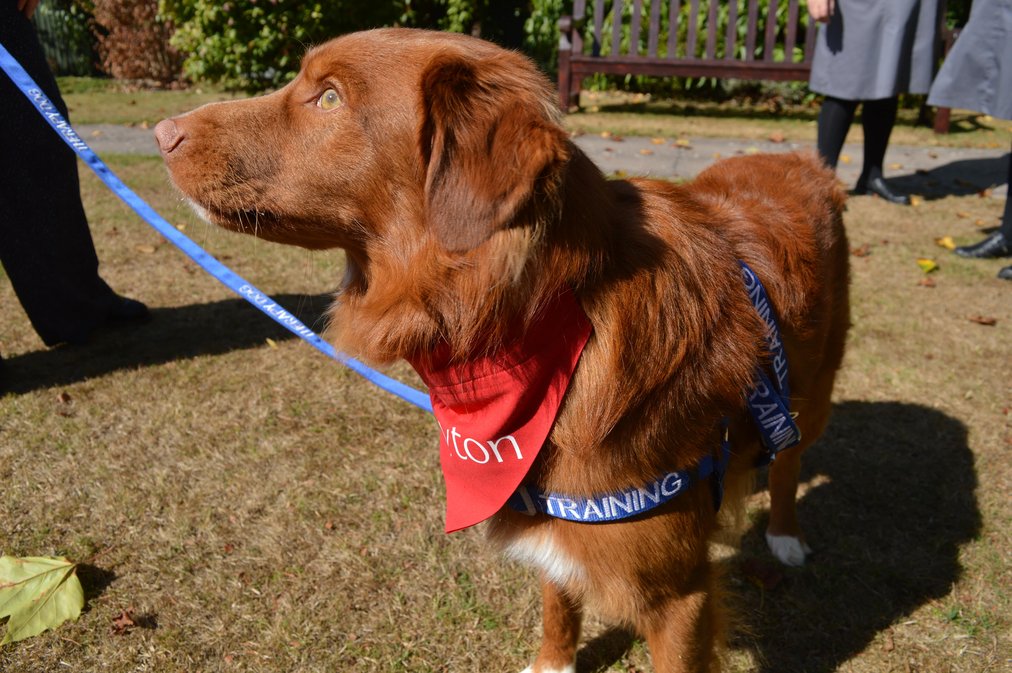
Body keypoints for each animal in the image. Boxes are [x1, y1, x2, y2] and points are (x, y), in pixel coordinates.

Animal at [155, 28, 846, 671]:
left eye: (328, 97)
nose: (162, 133)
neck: (543, 318)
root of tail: (799, 159)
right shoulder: (542, 508)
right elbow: (558, 601)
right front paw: (553, 662)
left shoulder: (682, 596)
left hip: (812, 395)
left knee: (789, 458)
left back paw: (785, 535)